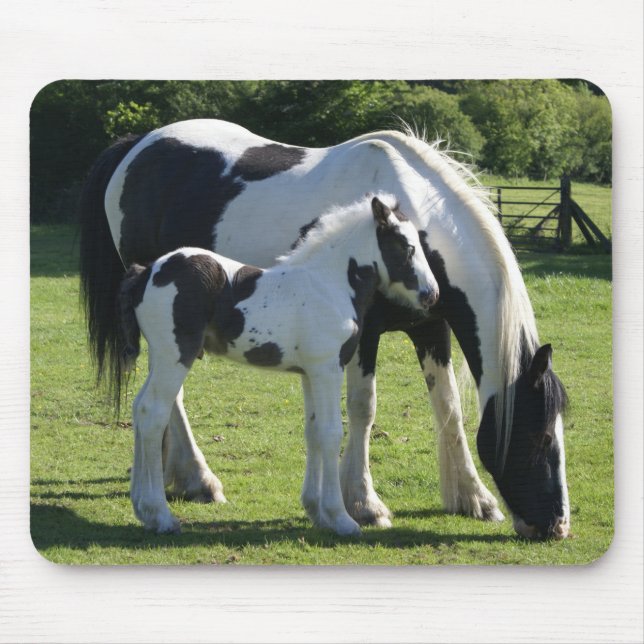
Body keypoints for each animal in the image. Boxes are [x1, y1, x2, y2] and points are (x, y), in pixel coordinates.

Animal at [115, 195, 438, 535]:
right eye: (406, 247)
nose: (432, 294)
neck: (329, 284)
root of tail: (146, 272)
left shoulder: (310, 373)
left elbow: (313, 431)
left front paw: (316, 511)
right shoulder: (327, 368)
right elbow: (330, 432)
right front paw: (340, 518)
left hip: (159, 355)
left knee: (139, 408)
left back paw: (142, 507)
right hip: (175, 355)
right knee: (153, 412)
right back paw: (160, 515)